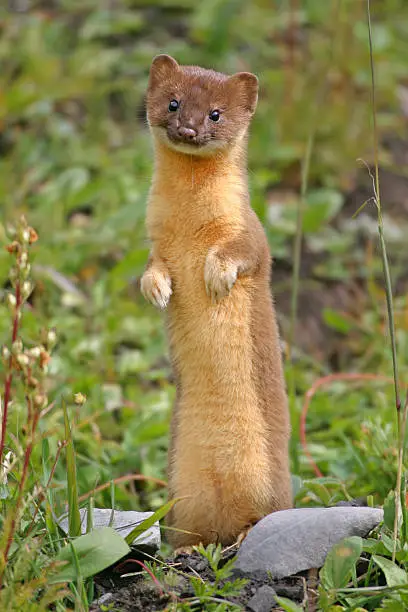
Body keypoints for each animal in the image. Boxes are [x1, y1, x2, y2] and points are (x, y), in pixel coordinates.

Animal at [142, 53, 292, 548]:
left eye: (215, 114)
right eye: (173, 103)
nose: (189, 128)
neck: (190, 226)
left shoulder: (248, 229)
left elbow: (245, 253)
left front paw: (217, 275)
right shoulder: (155, 240)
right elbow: (152, 267)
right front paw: (158, 289)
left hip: (270, 483)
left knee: (265, 515)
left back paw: (246, 535)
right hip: (180, 488)